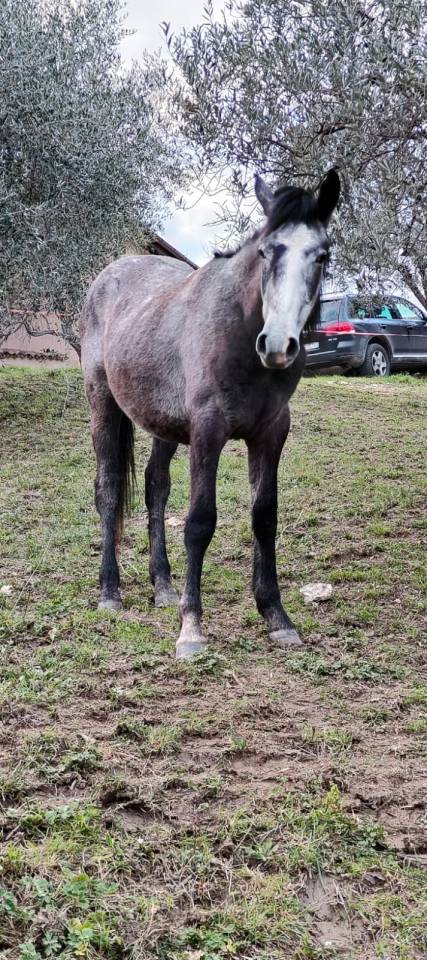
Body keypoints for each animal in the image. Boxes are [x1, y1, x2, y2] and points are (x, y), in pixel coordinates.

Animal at [80, 169, 340, 659]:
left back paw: (163, 586)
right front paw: (191, 628)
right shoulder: (208, 432)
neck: (239, 334)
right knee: (108, 489)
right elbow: (200, 521)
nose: (277, 344)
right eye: (265, 251)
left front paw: (276, 616)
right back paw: (110, 592)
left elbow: (264, 517)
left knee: (155, 488)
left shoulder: (271, 434)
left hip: (162, 425)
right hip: (102, 404)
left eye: (322, 255)